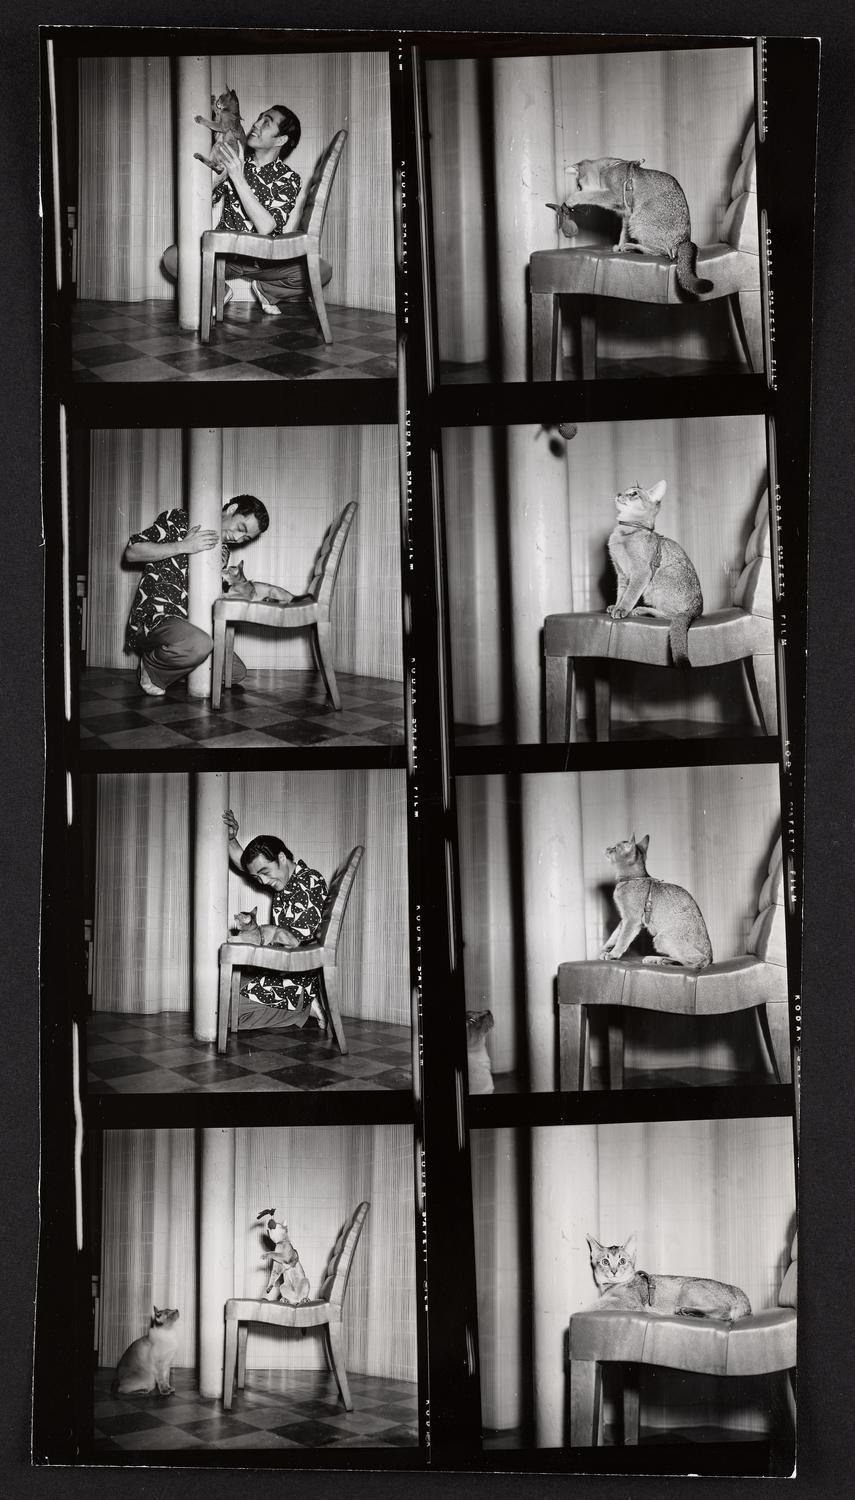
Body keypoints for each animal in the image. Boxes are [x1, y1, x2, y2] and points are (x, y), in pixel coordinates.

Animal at [582, 1236, 750, 1320]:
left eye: (622, 1261)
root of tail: (738, 1291)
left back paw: (687, 1310)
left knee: (725, 1313)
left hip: (690, 1287)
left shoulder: (631, 1304)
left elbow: (598, 1305)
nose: (614, 1271)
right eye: (605, 1262)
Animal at [600, 834, 711, 972]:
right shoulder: (624, 918)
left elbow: (622, 939)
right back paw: (658, 959)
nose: (607, 848)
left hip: (661, 938)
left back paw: (666, 961)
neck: (633, 879)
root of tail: (710, 956)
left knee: (698, 961)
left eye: (614, 848)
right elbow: (615, 934)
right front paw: (607, 948)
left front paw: (613, 954)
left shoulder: (632, 920)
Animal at [603, 480, 702, 669]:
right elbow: (621, 593)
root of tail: (698, 609)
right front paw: (616, 605)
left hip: (660, 580)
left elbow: (630, 595)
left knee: (671, 616)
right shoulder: (621, 573)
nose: (619, 494)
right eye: (625, 490)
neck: (625, 533)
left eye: (633, 494)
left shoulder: (641, 573)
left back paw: (643, 610)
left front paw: (622, 609)